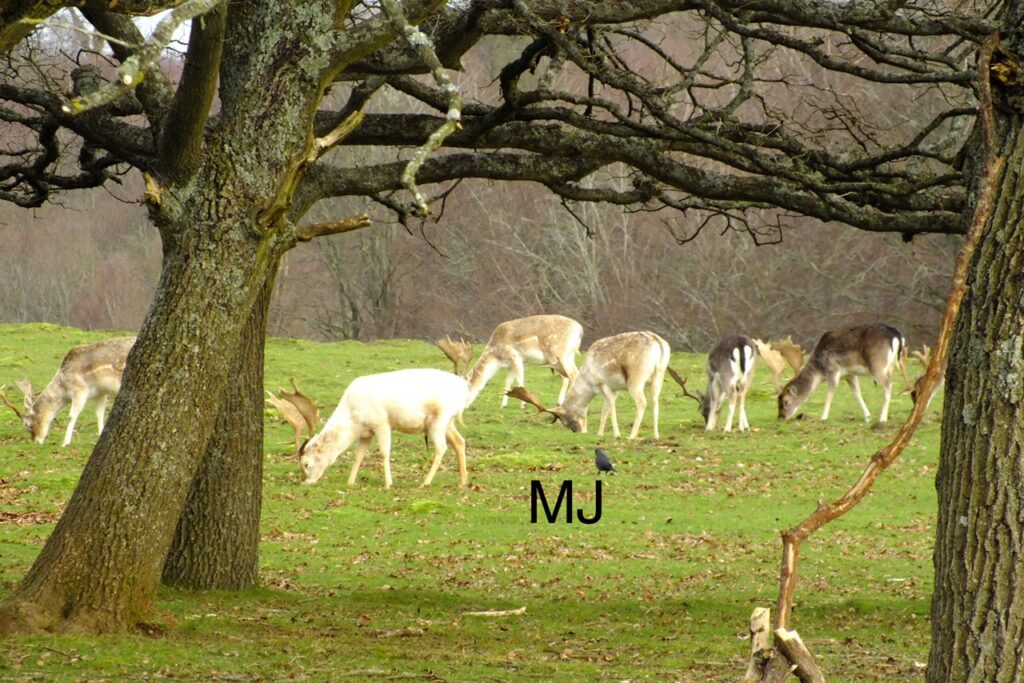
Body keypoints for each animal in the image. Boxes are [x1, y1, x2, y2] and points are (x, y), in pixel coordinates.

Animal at [1, 336, 135, 447]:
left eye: (27, 425)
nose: (36, 441)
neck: (63, 386)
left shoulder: (80, 390)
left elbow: (71, 416)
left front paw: (65, 443)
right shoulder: (100, 393)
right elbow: (99, 415)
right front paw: (99, 437)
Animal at [298, 368, 469, 489]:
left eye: (306, 464)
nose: (305, 482)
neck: (353, 419)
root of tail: (463, 388)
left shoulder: (381, 424)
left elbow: (384, 452)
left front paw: (388, 484)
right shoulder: (366, 433)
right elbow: (359, 455)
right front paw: (350, 482)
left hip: (438, 421)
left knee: (441, 447)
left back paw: (424, 483)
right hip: (448, 423)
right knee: (459, 441)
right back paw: (463, 482)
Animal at [506, 330, 670, 440]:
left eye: (566, 419)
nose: (577, 431)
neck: (588, 380)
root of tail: (659, 345)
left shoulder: (602, 383)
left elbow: (611, 408)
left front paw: (616, 434)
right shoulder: (613, 388)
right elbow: (605, 410)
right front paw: (600, 433)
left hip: (636, 379)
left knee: (642, 403)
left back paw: (631, 436)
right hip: (658, 376)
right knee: (655, 402)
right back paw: (656, 435)